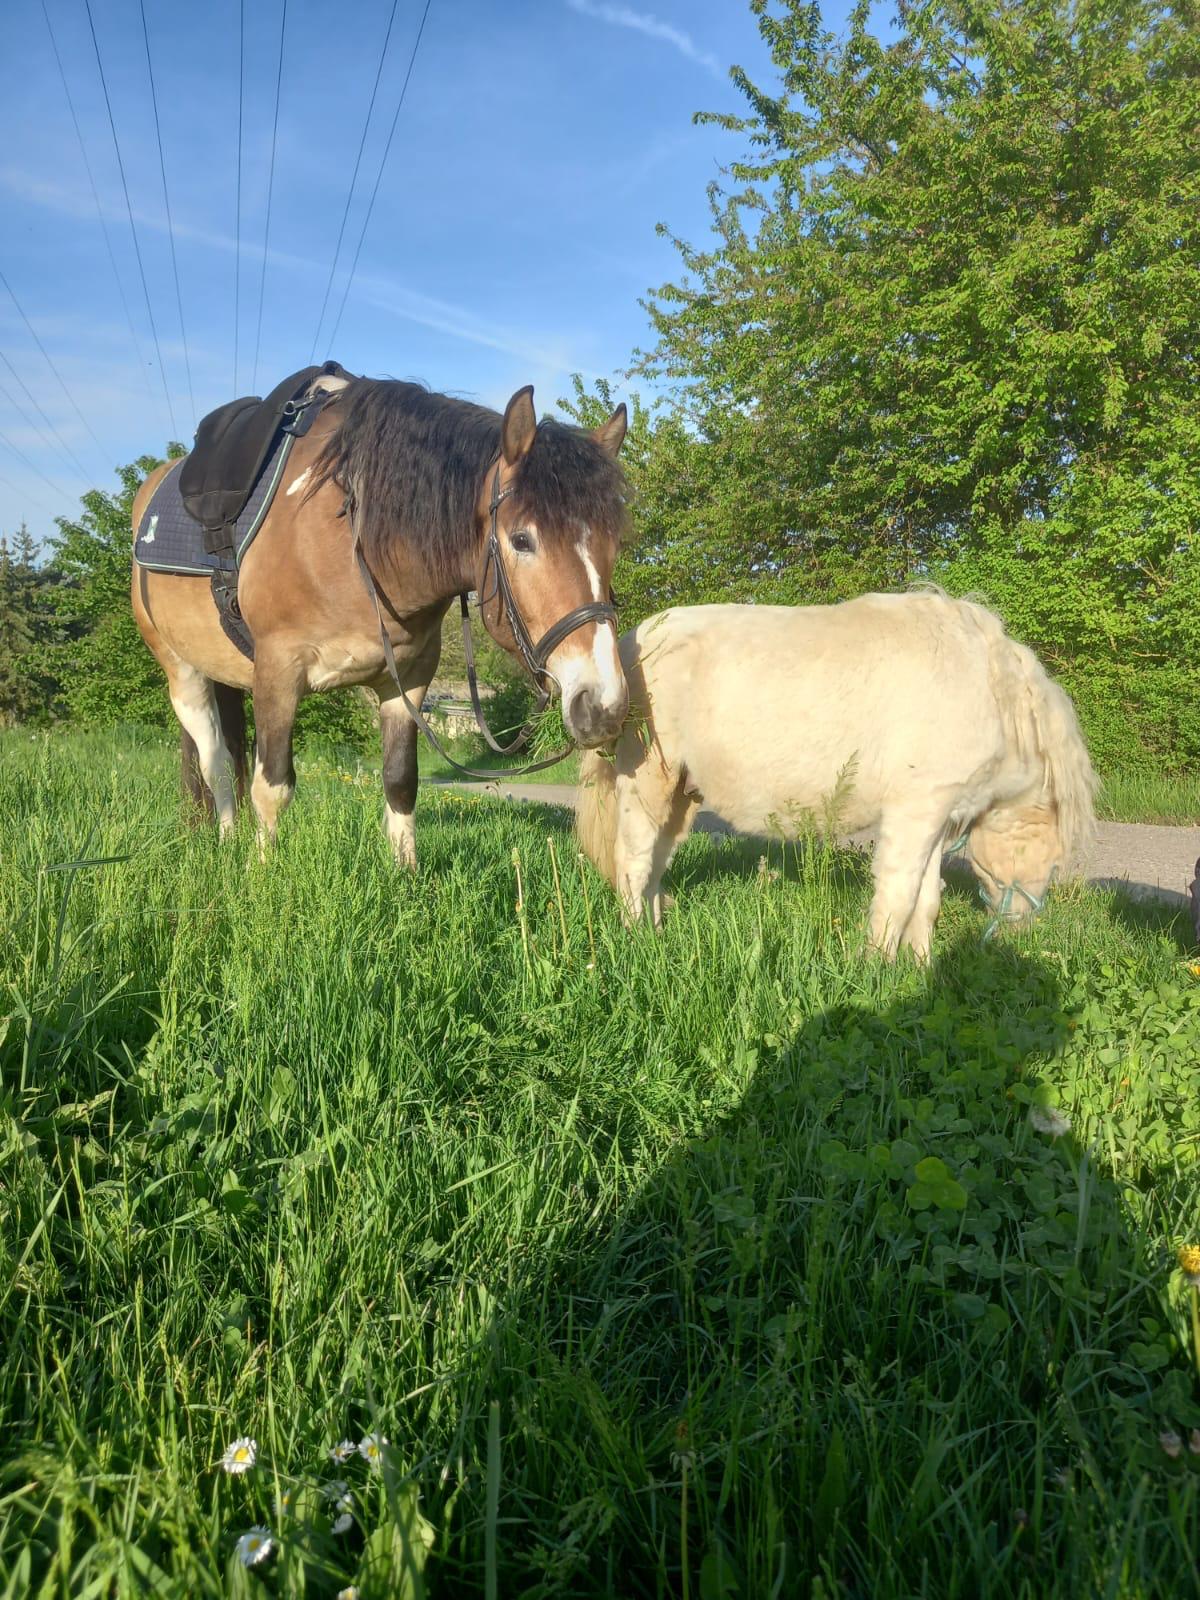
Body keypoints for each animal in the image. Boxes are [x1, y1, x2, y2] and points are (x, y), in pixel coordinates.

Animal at [132, 377, 629, 864]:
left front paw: (405, 872)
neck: (353, 541)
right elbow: (271, 787)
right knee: (214, 762)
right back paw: (228, 840)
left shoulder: (407, 681)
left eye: (613, 544)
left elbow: (400, 780)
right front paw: (262, 874)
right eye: (522, 539)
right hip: (183, 670)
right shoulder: (277, 672)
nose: (604, 707)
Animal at [576, 591, 1096, 960]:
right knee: (633, 862)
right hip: (647, 780)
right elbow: (898, 896)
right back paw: (636, 943)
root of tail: (627, 643)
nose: (1020, 930)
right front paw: (877, 971)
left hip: (682, 794)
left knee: (656, 863)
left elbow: (927, 901)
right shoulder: (914, 812)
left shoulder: (937, 817)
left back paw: (656, 935)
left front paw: (923, 969)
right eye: (1055, 865)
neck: (988, 689)